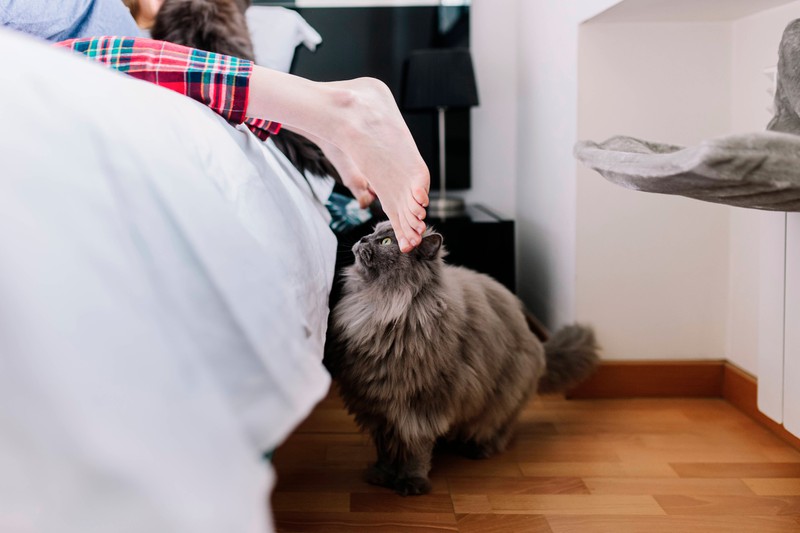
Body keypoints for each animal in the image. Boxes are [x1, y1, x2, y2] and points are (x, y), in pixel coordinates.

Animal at [326, 220, 600, 494]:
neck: (380, 307)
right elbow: (385, 447)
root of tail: (537, 344)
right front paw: (381, 475)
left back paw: (477, 448)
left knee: (500, 428)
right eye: (372, 231)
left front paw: (411, 482)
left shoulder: (420, 406)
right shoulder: (375, 406)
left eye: (386, 242)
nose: (363, 238)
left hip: (503, 395)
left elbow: (415, 448)